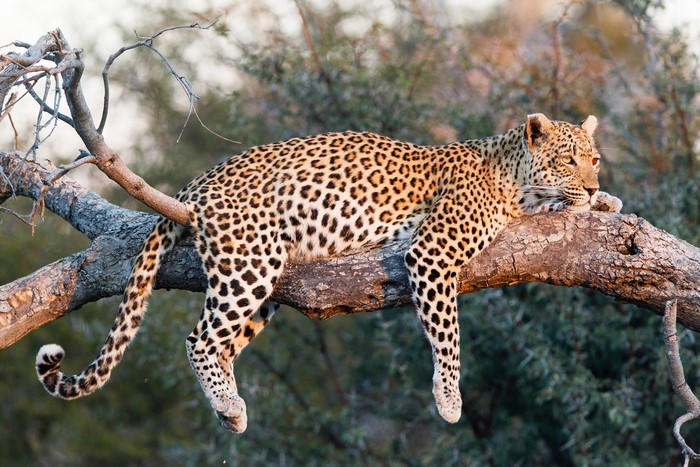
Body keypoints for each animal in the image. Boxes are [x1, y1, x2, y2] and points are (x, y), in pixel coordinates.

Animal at [35, 113, 622, 433]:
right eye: (568, 159)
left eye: (594, 159)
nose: (594, 182)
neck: (514, 178)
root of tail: (196, 184)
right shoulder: (431, 253)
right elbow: (448, 335)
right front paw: (450, 398)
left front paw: (605, 202)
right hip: (250, 262)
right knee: (199, 339)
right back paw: (227, 402)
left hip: (265, 282)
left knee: (219, 342)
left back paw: (230, 410)